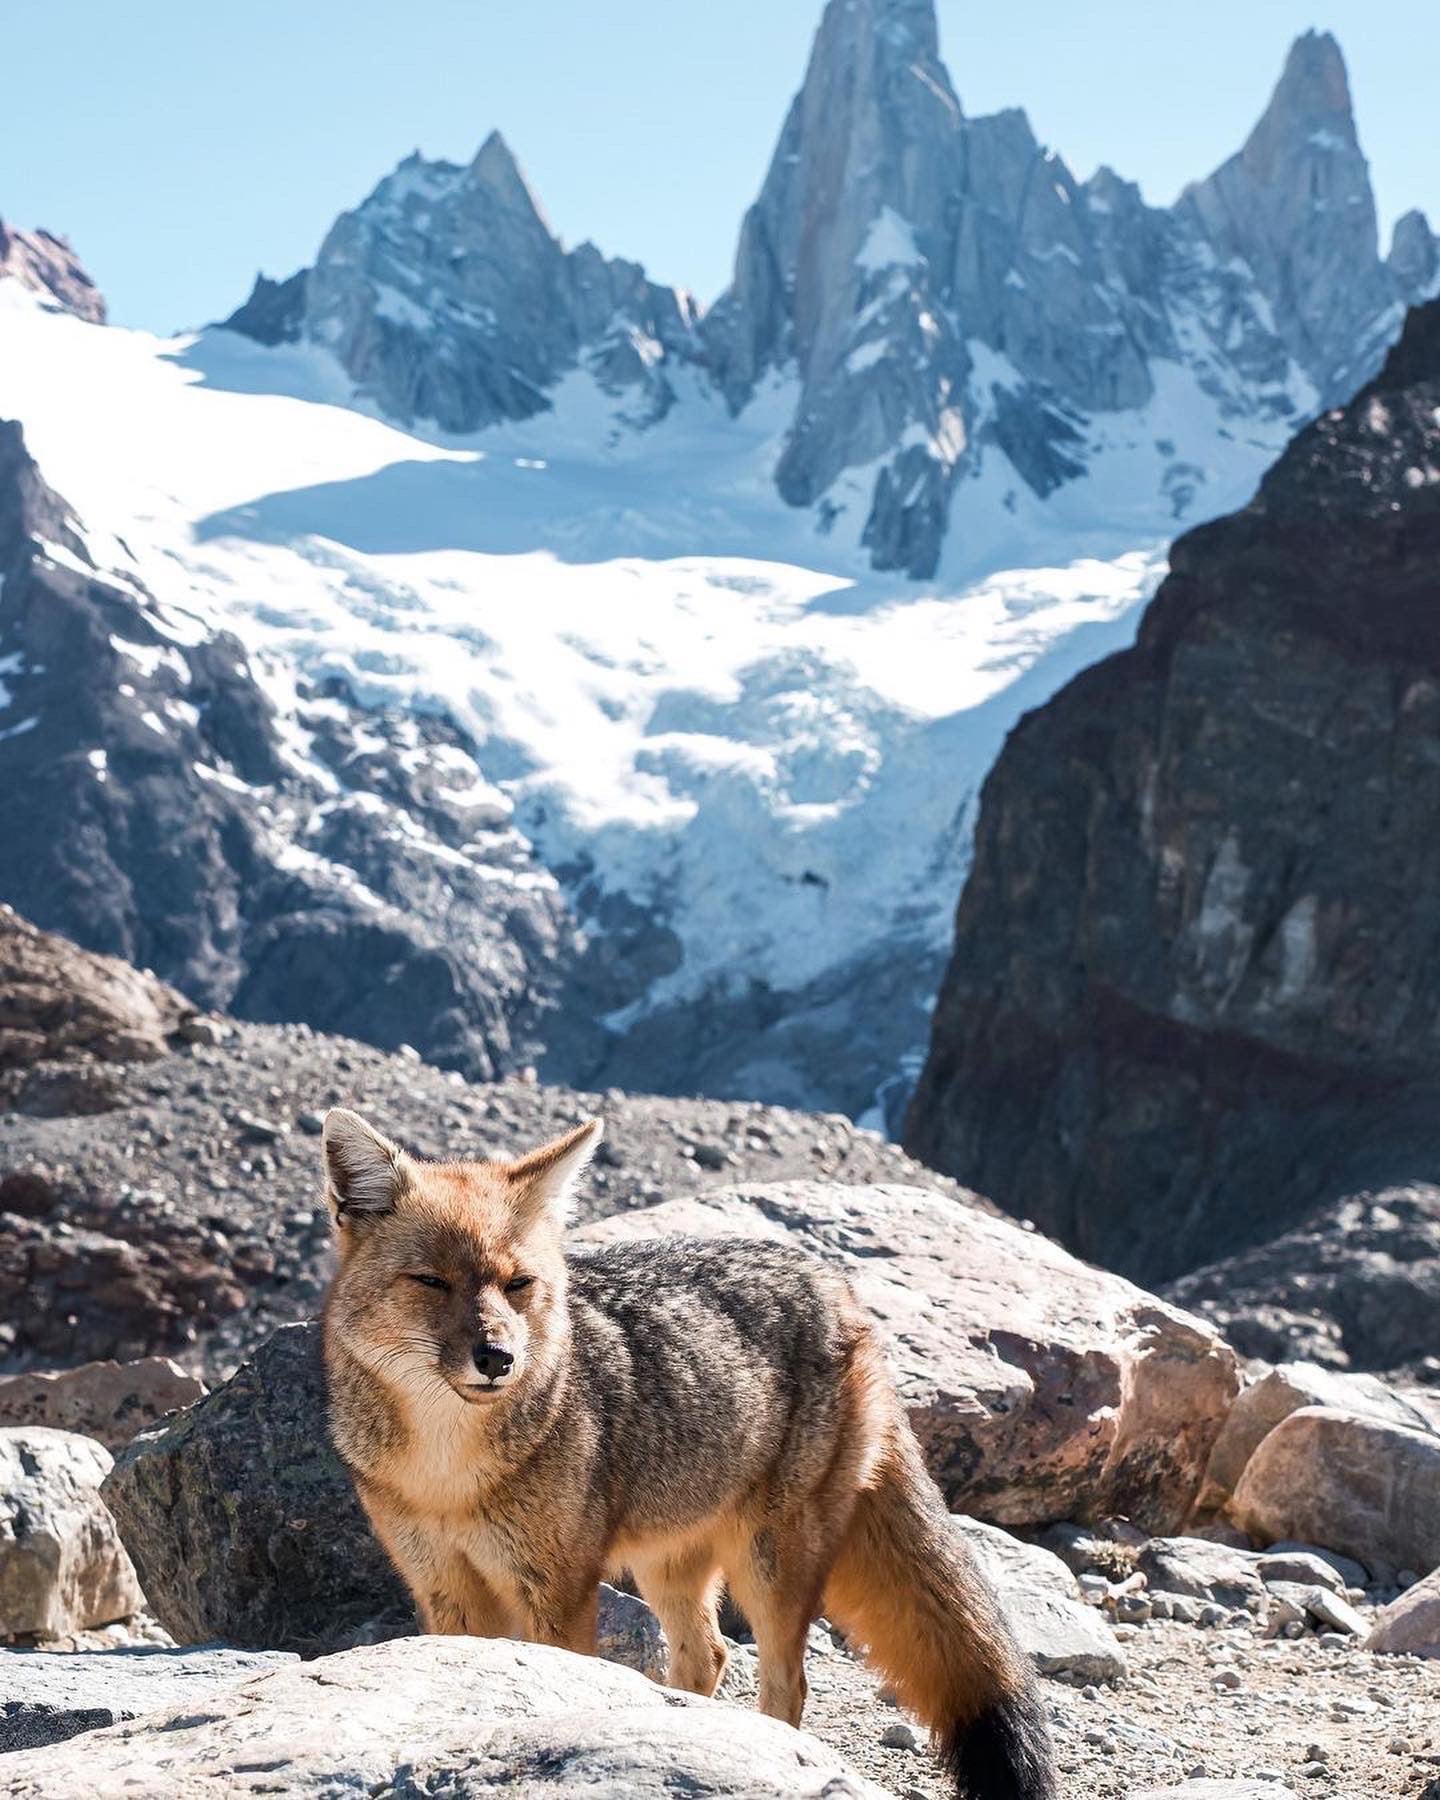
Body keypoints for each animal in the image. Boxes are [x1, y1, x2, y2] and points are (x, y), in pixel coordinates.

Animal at [318, 1094, 1058, 1800]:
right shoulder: (443, 1587)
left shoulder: (555, 1592)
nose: (497, 1359)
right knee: (708, 1657)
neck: (448, 1474)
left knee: (786, 1685)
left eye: (517, 1284)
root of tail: (835, 1285)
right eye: (431, 1281)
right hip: (669, 1563)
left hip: (770, 1565)